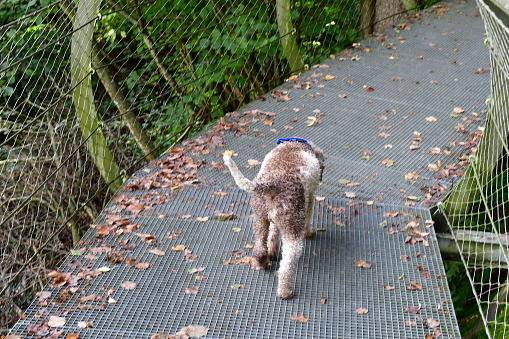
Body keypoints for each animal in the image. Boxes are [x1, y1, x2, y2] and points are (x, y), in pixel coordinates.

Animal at [223, 138, 326, 300]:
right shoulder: (309, 198)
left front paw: (272, 251)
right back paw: (285, 292)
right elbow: (308, 217)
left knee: (260, 248)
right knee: (286, 265)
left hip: (260, 217)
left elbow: (273, 233)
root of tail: (271, 183)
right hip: (292, 226)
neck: (296, 144)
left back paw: (262, 264)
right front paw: (308, 233)